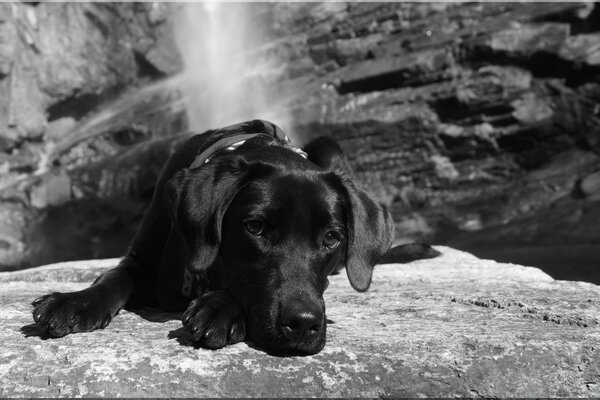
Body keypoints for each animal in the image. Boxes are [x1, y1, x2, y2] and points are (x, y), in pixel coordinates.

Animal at [30, 120, 438, 354]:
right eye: (254, 228)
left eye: (332, 237)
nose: (304, 324)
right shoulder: (141, 258)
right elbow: (113, 277)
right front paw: (74, 302)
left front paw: (219, 309)